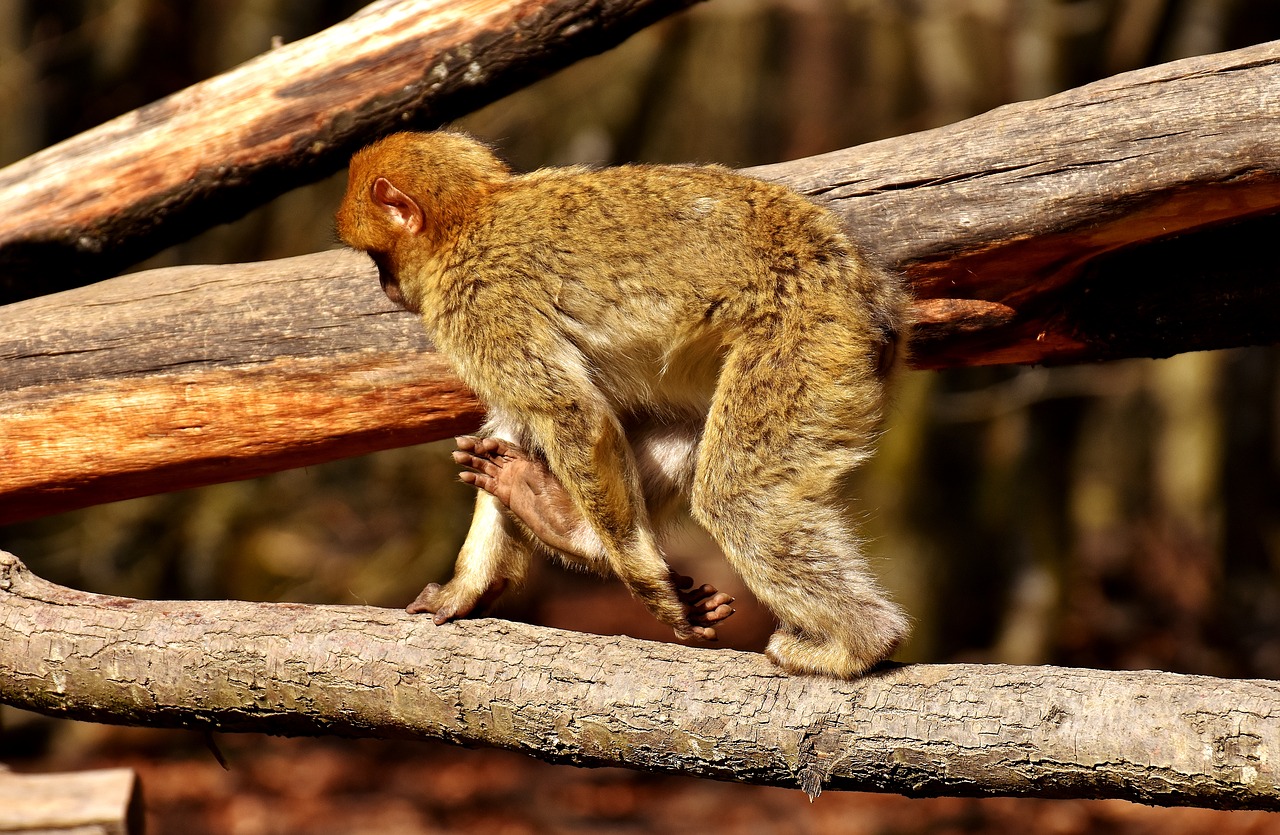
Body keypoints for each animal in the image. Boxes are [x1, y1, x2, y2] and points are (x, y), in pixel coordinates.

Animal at [335, 131, 906, 676]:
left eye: (378, 257)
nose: (385, 285)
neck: (472, 215)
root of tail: (871, 288)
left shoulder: (476, 302)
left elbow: (571, 414)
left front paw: (643, 579)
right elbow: (515, 423)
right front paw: (468, 589)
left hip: (810, 334)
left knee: (741, 497)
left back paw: (859, 645)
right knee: (692, 425)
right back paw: (563, 523)